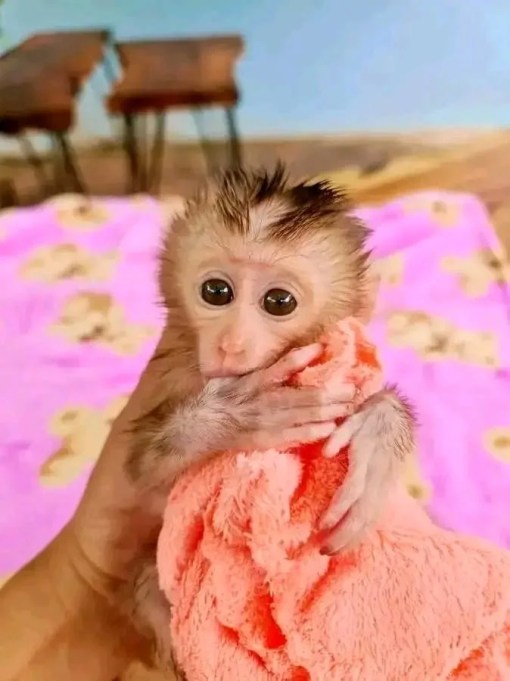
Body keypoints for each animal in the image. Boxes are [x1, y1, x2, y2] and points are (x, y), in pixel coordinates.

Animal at [124, 163, 415, 674]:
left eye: (279, 302)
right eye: (216, 292)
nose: (231, 344)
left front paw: (378, 443)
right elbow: (145, 475)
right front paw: (242, 415)